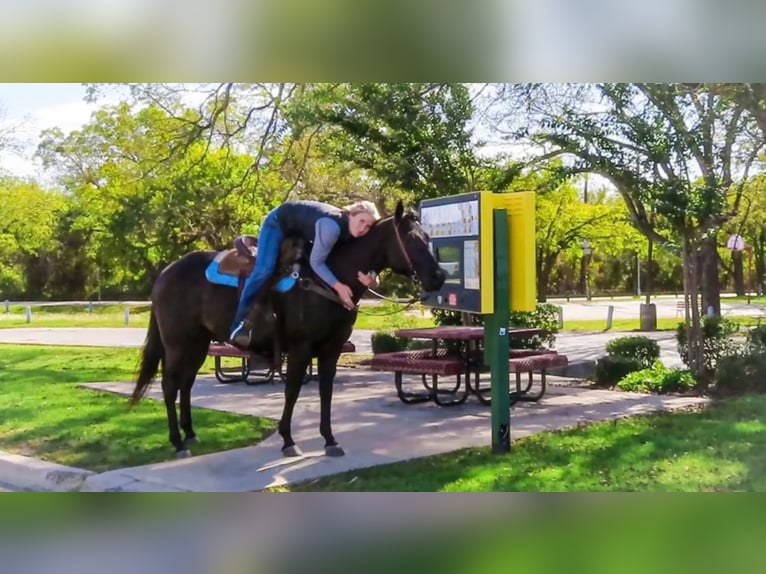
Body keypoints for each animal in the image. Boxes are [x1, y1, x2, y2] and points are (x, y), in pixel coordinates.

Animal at [129, 202, 448, 460]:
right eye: (410, 239)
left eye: (427, 238)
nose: (439, 277)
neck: (325, 278)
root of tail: (166, 273)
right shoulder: (300, 347)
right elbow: (292, 390)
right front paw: (288, 440)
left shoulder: (331, 349)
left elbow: (325, 391)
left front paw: (330, 440)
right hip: (177, 343)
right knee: (170, 385)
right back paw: (177, 443)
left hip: (198, 343)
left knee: (186, 384)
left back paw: (191, 434)